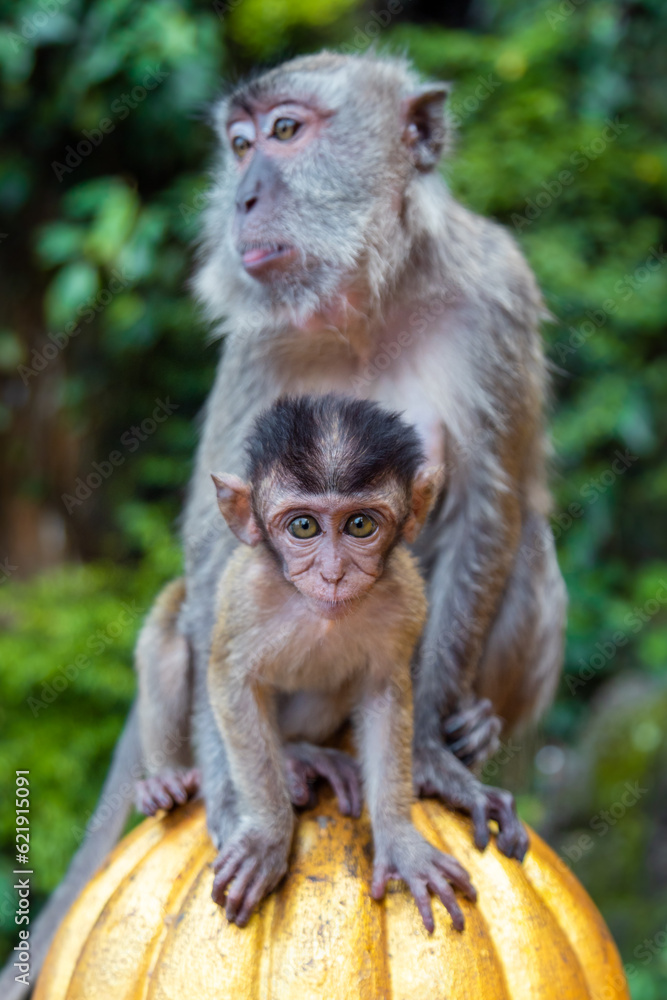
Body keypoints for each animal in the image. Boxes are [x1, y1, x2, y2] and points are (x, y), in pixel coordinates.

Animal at [205, 394, 477, 932]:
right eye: (303, 526)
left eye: (360, 525)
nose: (333, 574)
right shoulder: (248, 594)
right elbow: (231, 680)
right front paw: (268, 835)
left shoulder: (405, 597)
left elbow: (384, 694)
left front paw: (400, 838)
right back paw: (295, 760)